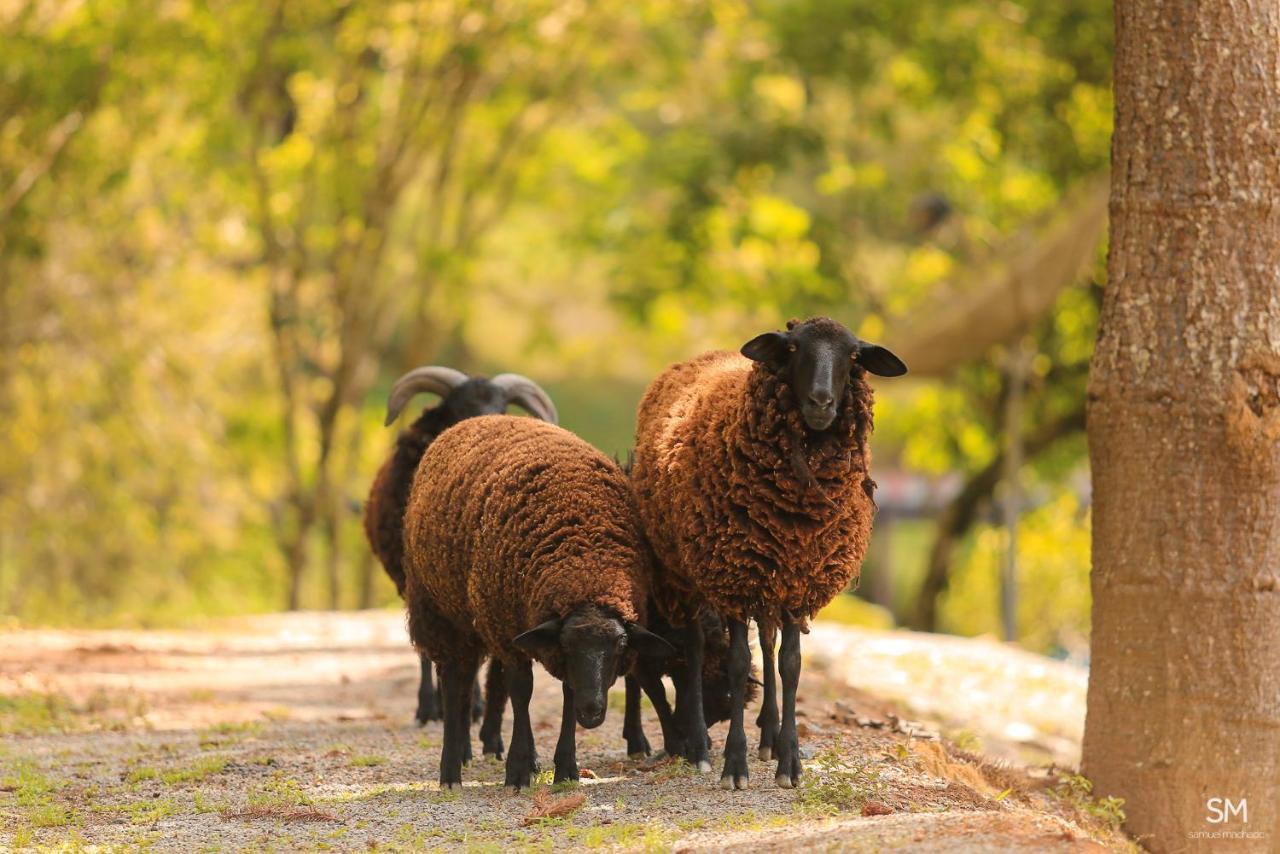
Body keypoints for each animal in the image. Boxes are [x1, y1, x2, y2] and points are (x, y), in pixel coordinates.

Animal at [404, 417, 675, 793]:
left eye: (621, 646)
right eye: (568, 644)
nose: (593, 711)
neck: (585, 565)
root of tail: (468, 422)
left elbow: (566, 695)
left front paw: (566, 769)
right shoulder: (515, 635)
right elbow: (522, 692)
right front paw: (517, 772)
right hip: (441, 613)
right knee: (455, 682)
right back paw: (451, 771)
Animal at [629, 317, 901, 793]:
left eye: (853, 356)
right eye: (793, 349)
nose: (821, 401)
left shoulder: (798, 581)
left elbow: (790, 665)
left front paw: (788, 759)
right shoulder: (733, 575)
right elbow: (738, 665)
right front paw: (734, 764)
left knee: (769, 644)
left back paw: (769, 735)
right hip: (687, 572)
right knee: (695, 648)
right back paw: (700, 745)